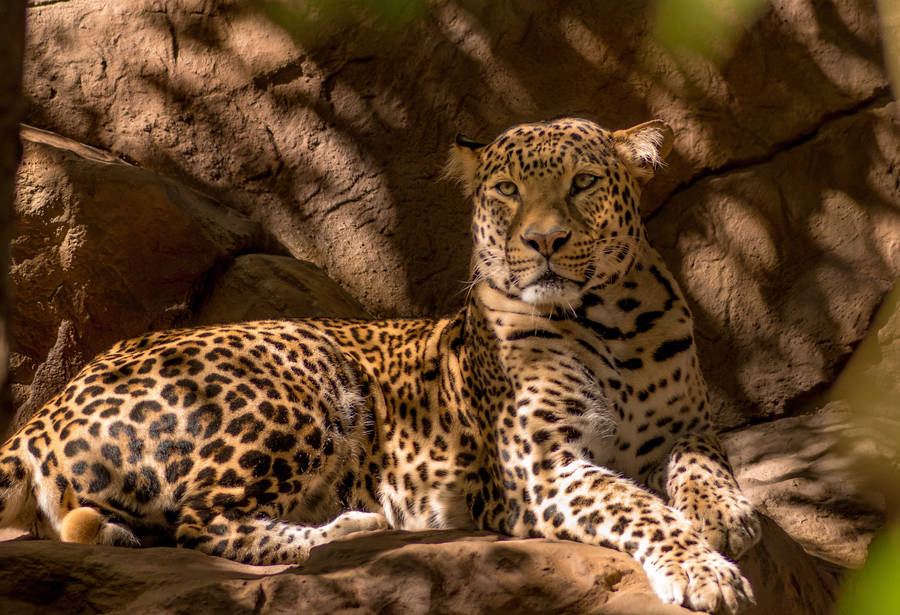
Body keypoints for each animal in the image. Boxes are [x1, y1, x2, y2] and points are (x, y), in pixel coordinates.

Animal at [0, 117, 761, 613]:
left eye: (583, 183)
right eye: (507, 191)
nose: (543, 241)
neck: (611, 322)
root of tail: (49, 407)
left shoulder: (688, 425)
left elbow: (702, 465)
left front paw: (729, 516)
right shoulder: (543, 469)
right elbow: (637, 506)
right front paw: (705, 570)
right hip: (303, 373)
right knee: (202, 523)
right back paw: (355, 527)